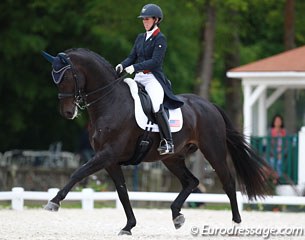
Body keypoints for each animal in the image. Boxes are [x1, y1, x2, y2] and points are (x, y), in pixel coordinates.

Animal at [41, 47, 272, 235]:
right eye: (54, 79)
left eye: (66, 77)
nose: (67, 112)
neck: (110, 101)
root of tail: (209, 105)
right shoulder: (110, 160)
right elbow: (122, 192)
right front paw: (129, 226)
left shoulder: (107, 154)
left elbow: (77, 173)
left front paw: (53, 202)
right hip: (172, 158)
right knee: (192, 182)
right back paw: (176, 215)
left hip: (213, 150)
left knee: (228, 182)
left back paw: (236, 223)